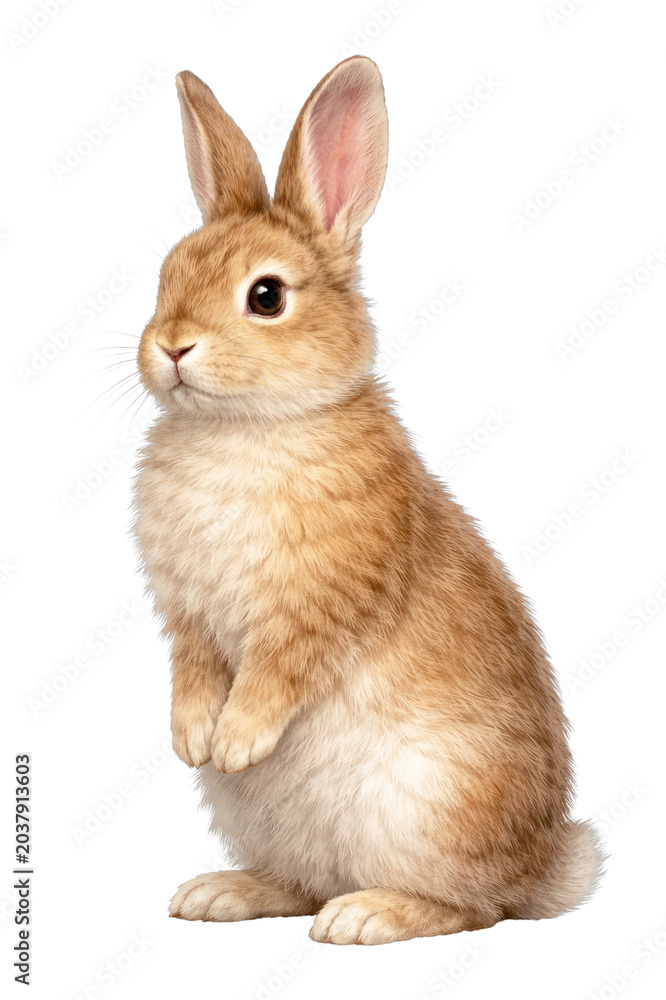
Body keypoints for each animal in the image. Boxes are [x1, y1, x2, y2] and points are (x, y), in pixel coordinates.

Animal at [133, 56, 604, 945]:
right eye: (166, 275)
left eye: (267, 297)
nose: (171, 346)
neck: (250, 425)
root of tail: (543, 867)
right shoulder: (189, 619)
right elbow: (193, 669)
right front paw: (190, 740)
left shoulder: (317, 605)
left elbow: (278, 672)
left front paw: (236, 740)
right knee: (304, 884)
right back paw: (220, 894)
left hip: (431, 803)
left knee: (473, 908)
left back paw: (366, 917)